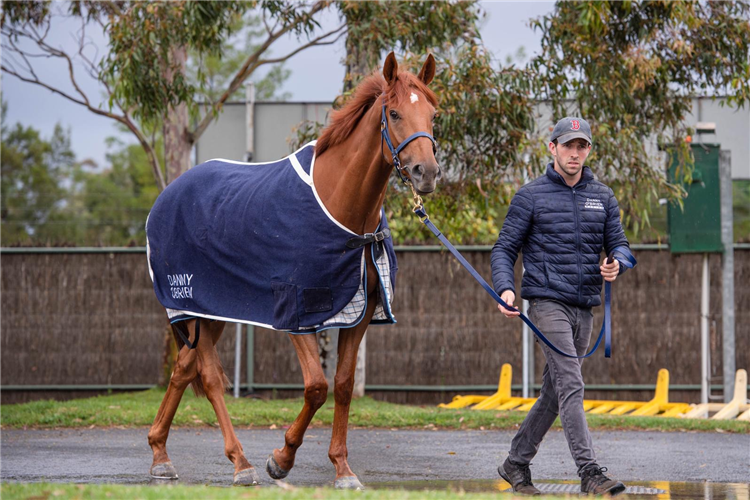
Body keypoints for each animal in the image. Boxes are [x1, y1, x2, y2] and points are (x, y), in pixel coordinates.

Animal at [147, 53, 440, 488]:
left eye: (433, 114)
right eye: (394, 112)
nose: (427, 172)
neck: (341, 208)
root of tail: (167, 196)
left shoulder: (361, 312)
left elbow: (343, 385)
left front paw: (342, 469)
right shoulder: (298, 311)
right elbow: (316, 387)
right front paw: (280, 459)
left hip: (212, 311)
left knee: (184, 369)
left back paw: (160, 454)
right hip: (193, 305)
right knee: (211, 377)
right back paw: (241, 463)